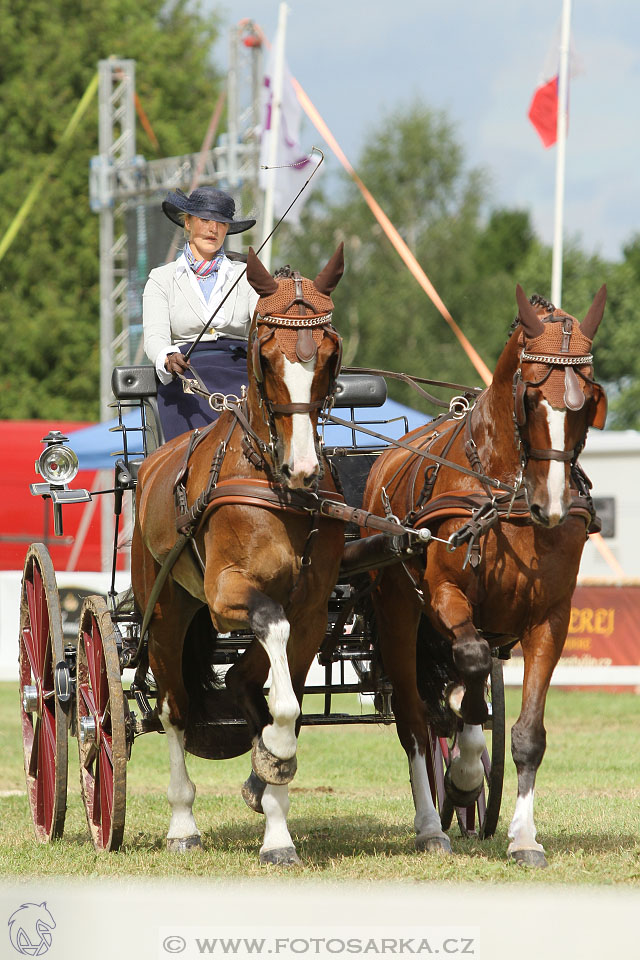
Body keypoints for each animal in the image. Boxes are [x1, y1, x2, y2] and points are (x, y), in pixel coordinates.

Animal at [129, 244, 344, 868]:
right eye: (266, 356)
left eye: (329, 354)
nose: (303, 469)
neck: (272, 482)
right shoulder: (229, 592)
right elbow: (277, 669)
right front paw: (272, 761)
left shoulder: (314, 611)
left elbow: (283, 701)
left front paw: (274, 816)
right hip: (167, 611)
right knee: (174, 707)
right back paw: (182, 824)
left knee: (240, 683)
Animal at [362, 284, 608, 872]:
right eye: (531, 396)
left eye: (587, 400)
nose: (551, 506)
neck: (503, 495)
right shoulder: (444, 596)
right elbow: (470, 664)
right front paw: (467, 774)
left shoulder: (550, 619)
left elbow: (527, 734)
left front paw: (523, 836)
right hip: (399, 616)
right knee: (416, 723)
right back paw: (432, 824)